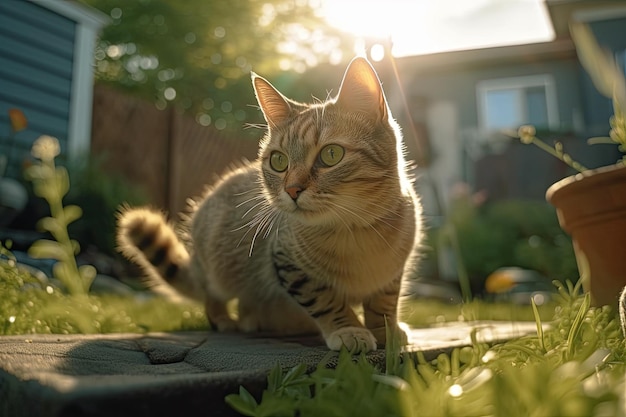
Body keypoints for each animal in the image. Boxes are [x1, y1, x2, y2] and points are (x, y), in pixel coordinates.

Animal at [117, 57, 420, 352]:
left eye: (331, 154)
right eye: (278, 161)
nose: (292, 189)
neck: (355, 230)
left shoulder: (393, 273)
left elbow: (384, 301)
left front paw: (386, 330)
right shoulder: (289, 264)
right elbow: (325, 301)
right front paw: (348, 329)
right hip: (216, 264)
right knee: (213, 297)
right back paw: (228, 321)